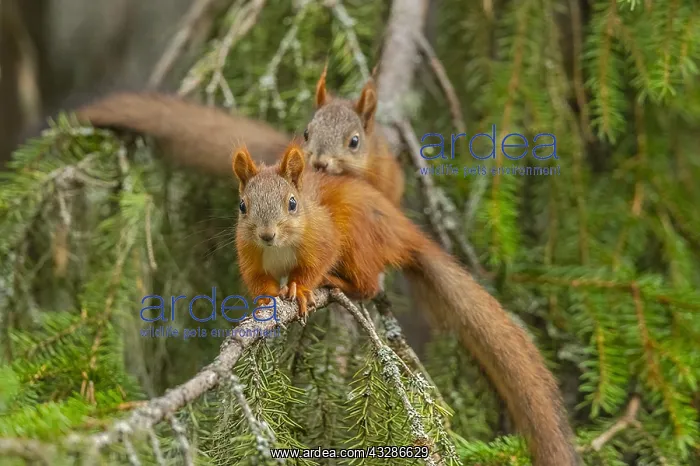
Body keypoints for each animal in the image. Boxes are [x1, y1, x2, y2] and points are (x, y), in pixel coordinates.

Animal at [233, 142, 580, 466]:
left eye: (292, 204)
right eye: (242, 206)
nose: (267, 235)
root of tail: (403, 233)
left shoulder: (322, 237)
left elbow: (316, 263)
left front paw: (302, 289)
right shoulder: (250, 256)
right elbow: (260, 283)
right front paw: (267, 300)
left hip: (358, 238)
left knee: (368, 285)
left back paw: (336, 282)